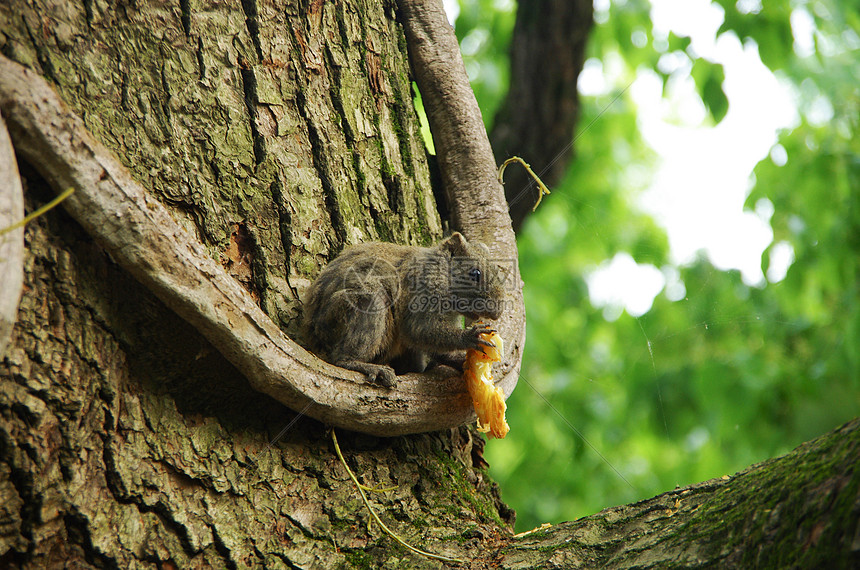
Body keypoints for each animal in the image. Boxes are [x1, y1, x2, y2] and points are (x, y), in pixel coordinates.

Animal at [300, 231, 504, 386]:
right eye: (475, 273)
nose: (497, 313)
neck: (442, 272)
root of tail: (313, 333)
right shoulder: (422, 290)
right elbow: (419, 330)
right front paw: (469, 337)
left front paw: (459, 359)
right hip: (364, 302)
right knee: (340, 358)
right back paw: (367, 366)